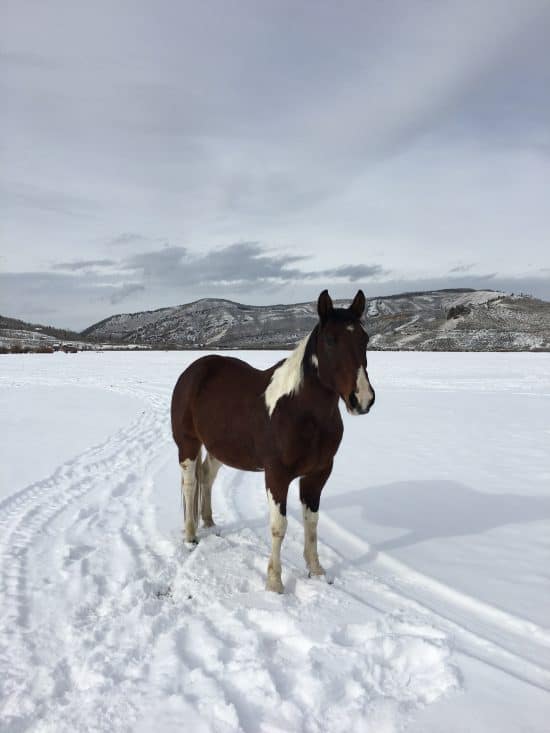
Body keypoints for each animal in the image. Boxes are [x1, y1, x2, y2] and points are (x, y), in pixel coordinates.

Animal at [171, 288, 376, 592]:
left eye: (365, 339)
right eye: (330, 340)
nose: (361, 399)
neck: (299, 410)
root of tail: (194, 370)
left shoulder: (318, 474)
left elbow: (311, 522)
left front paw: (316, 571)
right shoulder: (277, 476)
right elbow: (279, 527)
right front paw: (274, 583)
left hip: (219, 449)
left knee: (206, 477)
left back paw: (208, 523)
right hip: (187, 444)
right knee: (190, 484)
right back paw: (190, 535)